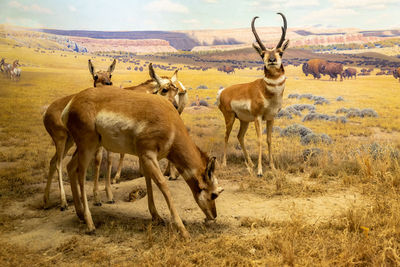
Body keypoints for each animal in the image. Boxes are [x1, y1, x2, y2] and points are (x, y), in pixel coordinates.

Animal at [43, 59, 116, 211]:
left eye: (110, 74)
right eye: (95, 76)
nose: (108, 83)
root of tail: (46, 112)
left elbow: (110, 160)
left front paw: (110, 197)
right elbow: (98, 161)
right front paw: (97, 199)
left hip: (69, 142)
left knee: (52, 162)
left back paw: (46, 202)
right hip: (61, 140)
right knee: (58, 164)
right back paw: (63, 203)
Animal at [62, 86, 222, 239]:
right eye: (214, 194)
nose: (214, 216)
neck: (171, 122)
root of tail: (72, 102)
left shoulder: (145, 157)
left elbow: (148, 181)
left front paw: (157, 217)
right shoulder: (148, 155)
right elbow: (163, 185)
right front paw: (183, 230)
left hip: (88, 147)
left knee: (70, 167)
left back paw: (80, 214)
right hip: (87, 147)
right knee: (81, 175)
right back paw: (90, 224)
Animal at [217, 14, 290, 178]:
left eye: (280, 52)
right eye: (262, 54)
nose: (271, 60)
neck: (267, 91)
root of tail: (223, 91)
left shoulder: (271, 117)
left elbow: (269, 139)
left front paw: (273, 167)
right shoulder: (258, 117)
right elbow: (260, 140)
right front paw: (260, 171)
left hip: (244, 120)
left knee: (240, 136)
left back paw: (249, 164)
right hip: (230, 118)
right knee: (225, 135)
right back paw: (224, 163)